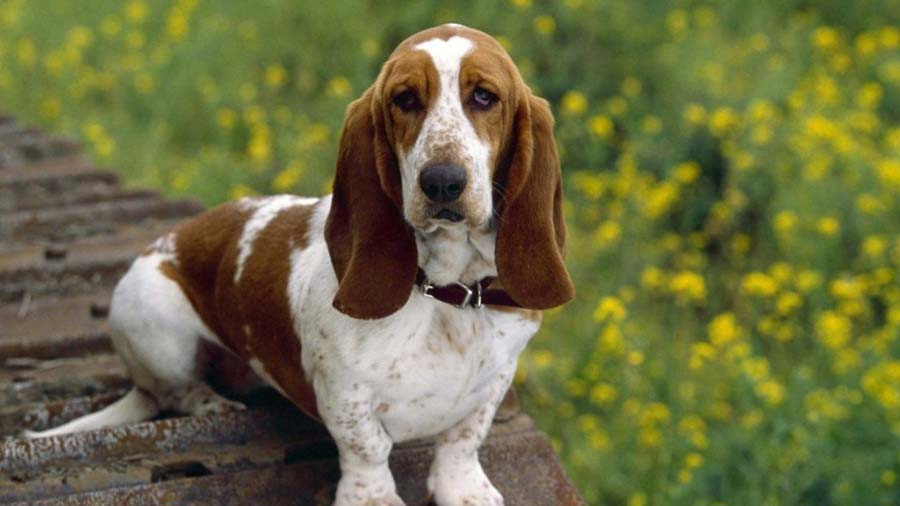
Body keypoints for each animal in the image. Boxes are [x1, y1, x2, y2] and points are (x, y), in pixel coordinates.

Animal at [26, 23, 576, 506]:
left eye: (484, 97)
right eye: (404, 99)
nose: (442, 182)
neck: (445, 294)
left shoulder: (495, 379)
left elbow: (463, 439)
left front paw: (464, 489)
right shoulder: (343, 392)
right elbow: (368, 448)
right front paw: (373, 498)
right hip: (155, 323)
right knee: (174, 393)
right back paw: (215, 403)